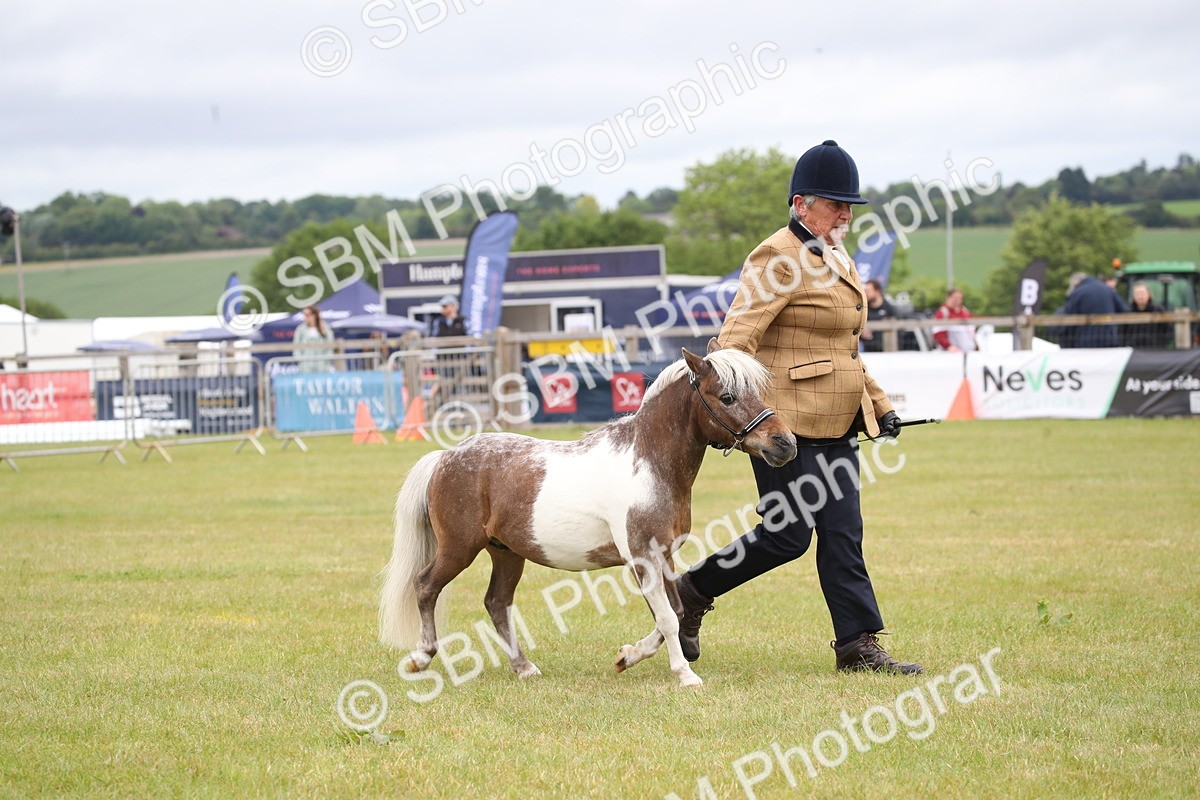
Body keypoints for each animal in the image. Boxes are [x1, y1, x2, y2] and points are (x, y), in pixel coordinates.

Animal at [379, 343, 798, 688]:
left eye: (758, 391)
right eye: (727, 396)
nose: (785, 444)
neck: (648, 463)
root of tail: (445, 457)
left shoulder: (662, 555)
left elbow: (674, 612)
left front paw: (627, 656)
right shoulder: (643, 557)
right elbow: (666, 617)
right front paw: (685, 675)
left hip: (506, 552)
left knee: (497, 603)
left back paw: (524, 667)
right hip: (459, 548)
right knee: (425, 586)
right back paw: (420, 659)